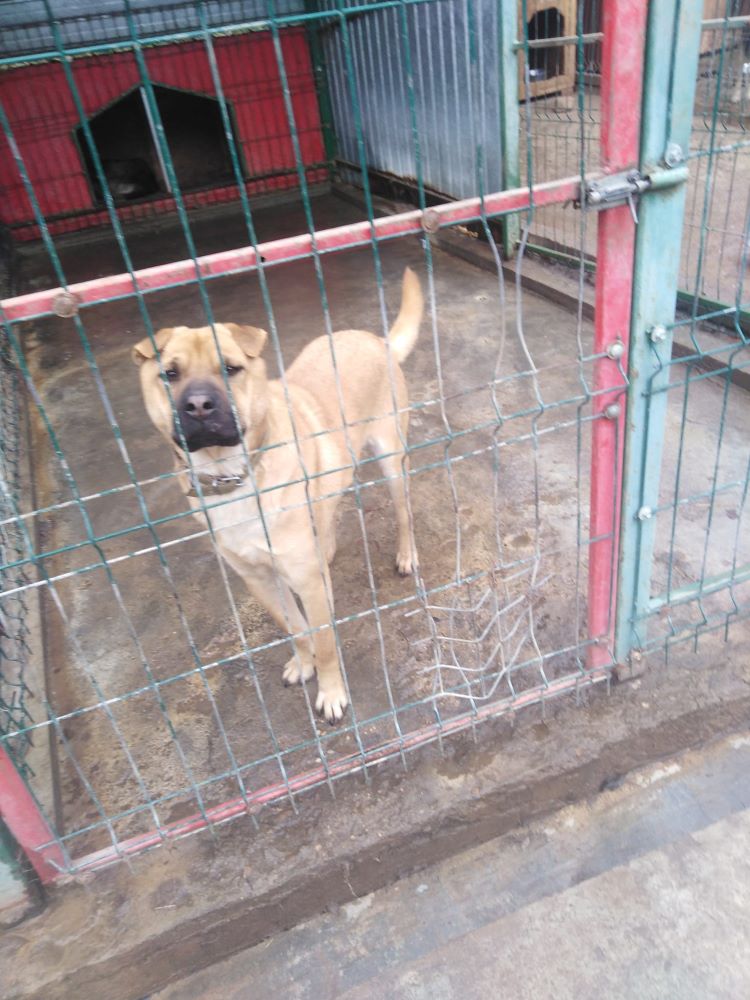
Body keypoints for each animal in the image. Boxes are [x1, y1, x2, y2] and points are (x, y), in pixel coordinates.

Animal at [134, 266, 424, 720]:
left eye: (230, 369)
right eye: (170, 374)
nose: (199, 405)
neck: (232, 476)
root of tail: (376, 339)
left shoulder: (305, 582)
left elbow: (324, 639)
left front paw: (331, 692)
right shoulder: (259, 580)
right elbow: (296, 628)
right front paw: (303, 663)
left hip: (392, 460)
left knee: (404, 512)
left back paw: (406, 554)